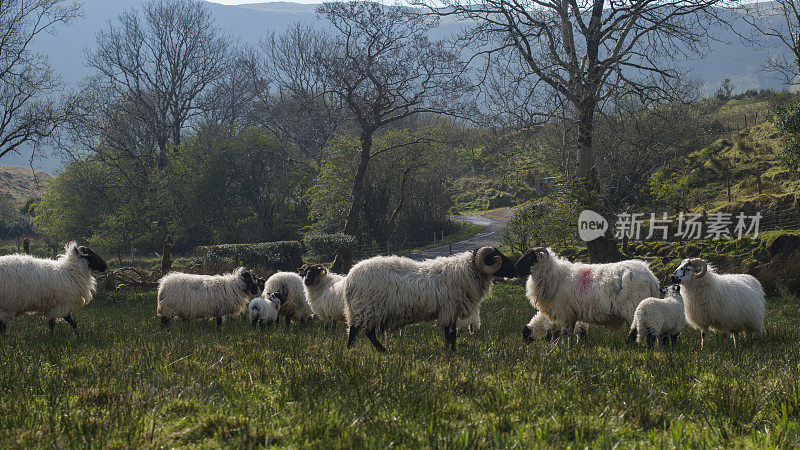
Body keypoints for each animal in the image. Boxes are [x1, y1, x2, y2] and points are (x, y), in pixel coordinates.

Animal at [340, 246, 516, 352]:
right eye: (496, 257)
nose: (515, 269)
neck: (466, 271)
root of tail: (350, 278)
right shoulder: (449, 310)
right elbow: (451, 333)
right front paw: (451, 352)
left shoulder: (450, 311)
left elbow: (451, 333)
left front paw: (451, 351)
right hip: (367, 307)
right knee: (356, 330)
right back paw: (354, 350)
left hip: (369, 310)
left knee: (367, 332)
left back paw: (381, 351)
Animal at [516, 248, 660, 346]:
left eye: (529, 258)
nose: (515, 267)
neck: (555, 277)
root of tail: (651, 277)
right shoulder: (572, 314)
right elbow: (570, 334)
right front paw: (569, 349)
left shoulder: (564, 313)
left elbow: (564, 333)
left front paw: (563, 349)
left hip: (634, 307)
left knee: (636, 331)